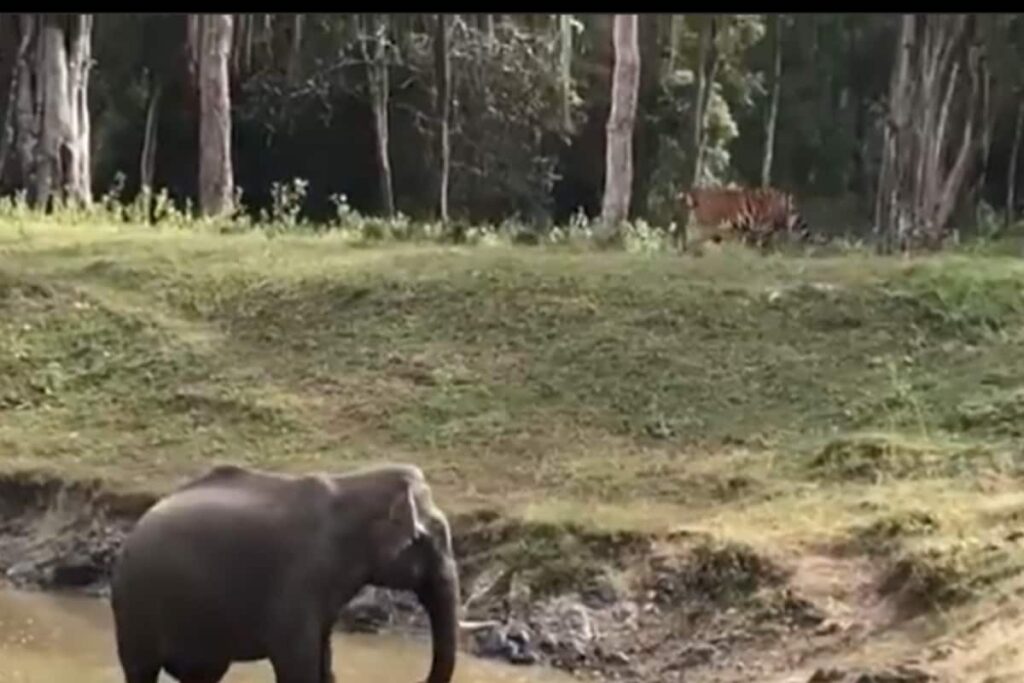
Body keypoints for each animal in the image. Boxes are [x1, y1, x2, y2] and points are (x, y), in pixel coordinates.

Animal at [110, 463, 460, 683]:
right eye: (435, 540)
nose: (418, 678)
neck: (354, 485)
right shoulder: (300, 575)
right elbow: (297, 664)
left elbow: (323, 661)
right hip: (135, 608)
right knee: (141, 671)